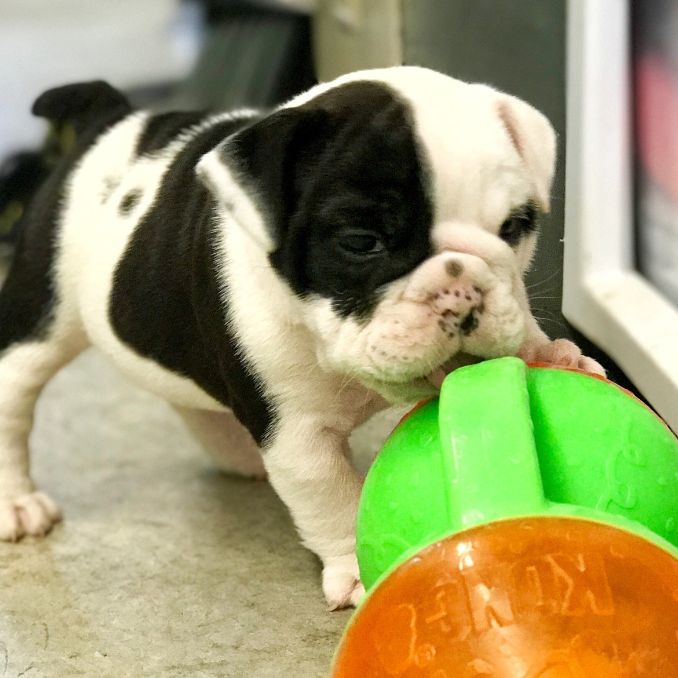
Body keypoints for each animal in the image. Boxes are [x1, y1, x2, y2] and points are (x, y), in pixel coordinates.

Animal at [0, 67, 604, 612]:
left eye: (513, 229)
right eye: (361, 242)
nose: (463, 290)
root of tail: (111, 120)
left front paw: (554, 353)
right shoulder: (297, 434)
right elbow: (330, 493)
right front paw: (357, 568)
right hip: (41, 315)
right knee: (15, 397)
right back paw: (18, 505)